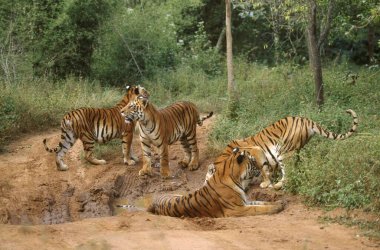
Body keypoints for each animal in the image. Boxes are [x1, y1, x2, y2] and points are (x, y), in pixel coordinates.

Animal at [147, 147, 284, 218]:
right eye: (253, 161)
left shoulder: (244, 201)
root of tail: (156, 200)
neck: (237, 178)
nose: (263, 167)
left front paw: (279, 202)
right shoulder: (236, 208)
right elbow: (258, 209)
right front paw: (277, 207)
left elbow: (261, 202)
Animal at [206, 109, 358, 189]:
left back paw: (278, 185)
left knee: (288, 172)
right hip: (293, 149)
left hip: (284, 151)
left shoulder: (257, 152)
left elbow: (263, 169)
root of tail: (306, 120)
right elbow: (268, 169)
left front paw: (266, 183)